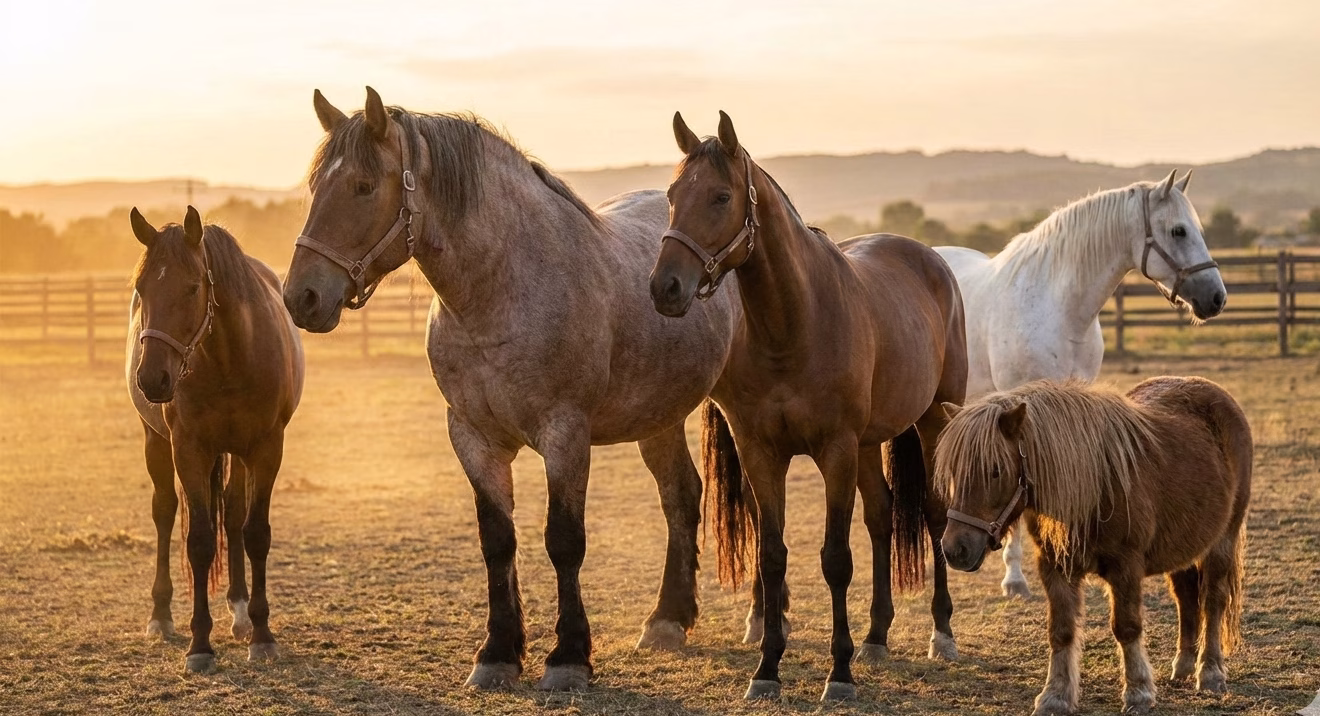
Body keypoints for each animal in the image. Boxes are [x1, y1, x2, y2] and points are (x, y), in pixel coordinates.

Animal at [126, 206, 305, 673]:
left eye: (192, 287)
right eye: (141, 288)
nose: (152, 378)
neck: (229, 356)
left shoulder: (266, 447)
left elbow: (255, 532)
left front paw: (261, 634)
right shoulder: (188, 450)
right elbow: (200, 541)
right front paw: (199, 644)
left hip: (237, 453)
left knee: (234, 511)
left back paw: (240, 612)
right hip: (156, 442)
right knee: (165, 512)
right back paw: (161, 615)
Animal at [281, 88, 739, 691]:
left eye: (362, 185)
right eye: (315, 187)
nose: (301, 297)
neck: (503, 292)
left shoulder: (565, 436)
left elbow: (564, 541)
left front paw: (568, 658)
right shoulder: (474, 438)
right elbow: (497, 541)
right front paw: (498, 652)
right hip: (658, 419)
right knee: (681, 497)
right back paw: (667, 620)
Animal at [650, 111, 968, 701]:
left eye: (721, 196)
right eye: (672, 196)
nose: (665, 288)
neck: (793, 325)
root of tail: (929, 259)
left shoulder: (834, 450)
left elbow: (835, 560)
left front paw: (838, 674)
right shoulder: (761, 452)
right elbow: (773, 556)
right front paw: (767, 668)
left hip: (933, 419)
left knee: (935, 515)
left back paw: (941, 633)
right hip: (869, 443)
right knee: (882, 516)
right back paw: (876, 637)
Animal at [936, 378, 1250, 715]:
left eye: (995, 470)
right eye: (953, 471)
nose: (954, 549)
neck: (1098, 484)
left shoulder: (1126, 567)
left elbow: (1126, 626)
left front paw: (1138, 692)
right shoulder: (1055, 567)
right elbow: (1061, 631)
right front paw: (1055, 696)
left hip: (1222, 541)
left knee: (1213, 602)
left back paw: (1210, 673)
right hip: (1183, 546)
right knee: (1186, 599)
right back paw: (1183, 667)